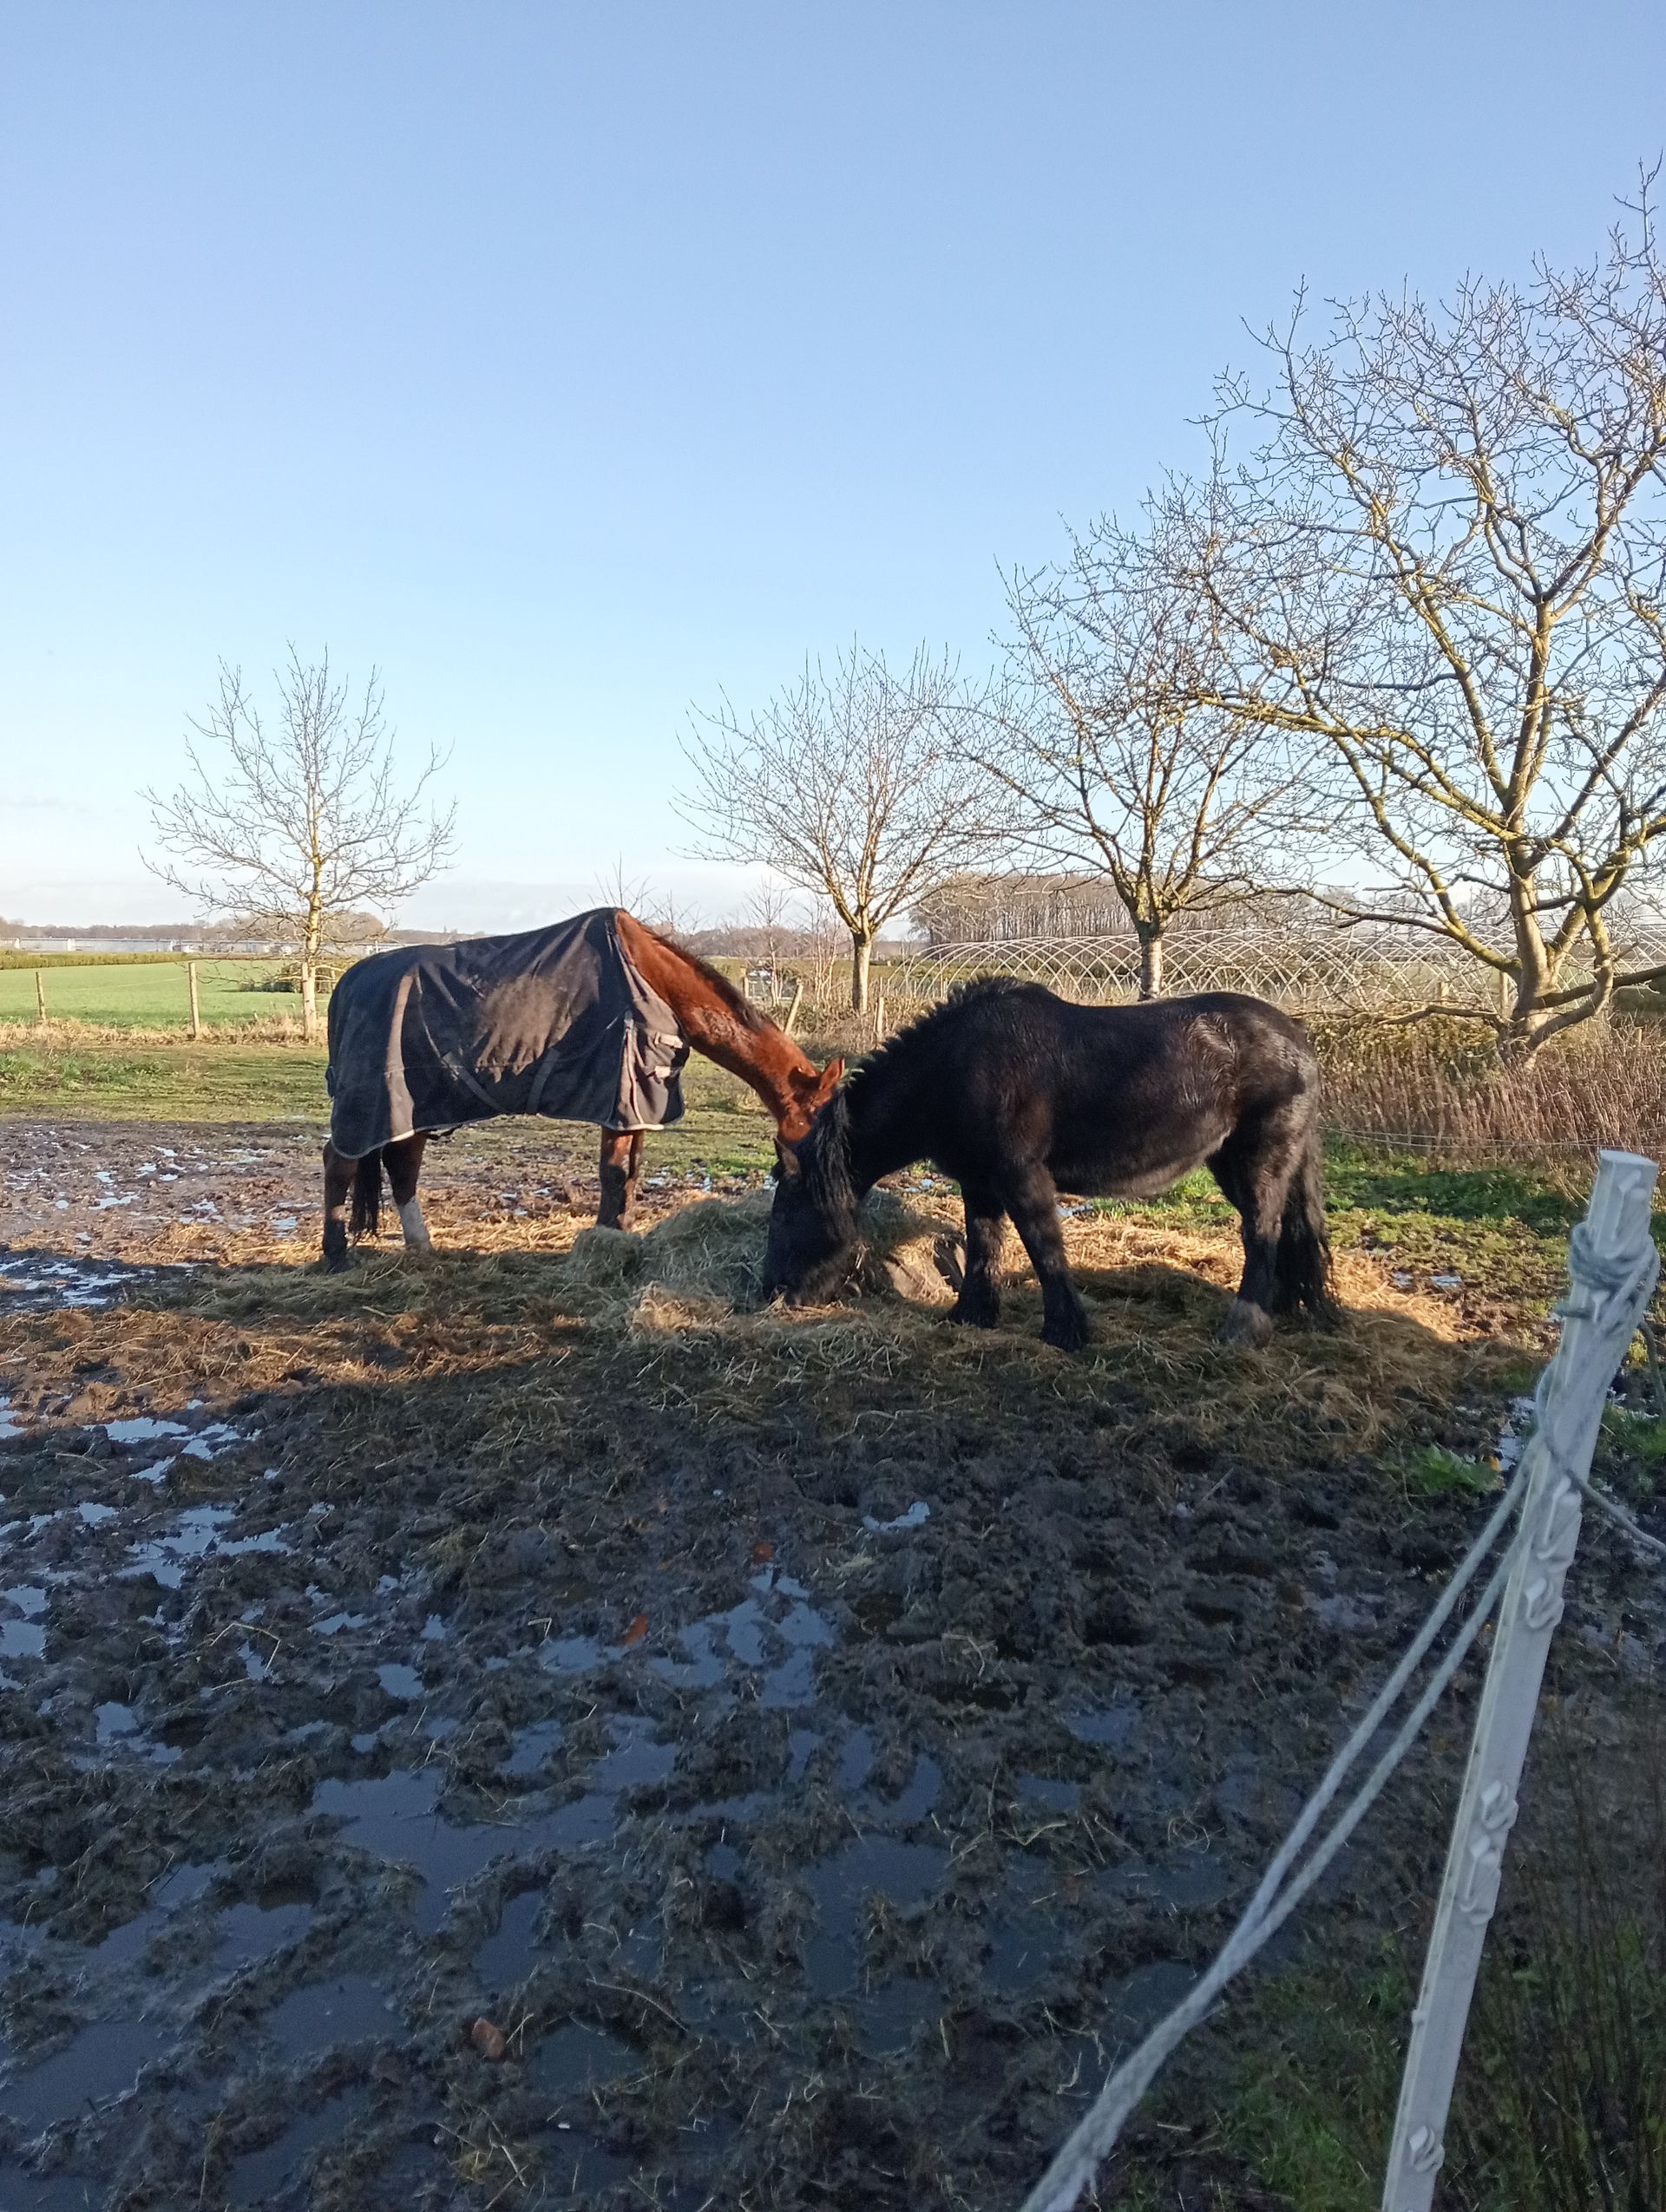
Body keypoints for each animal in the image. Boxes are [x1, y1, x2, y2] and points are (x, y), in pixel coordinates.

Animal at [322, 909, 842, 1269]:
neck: (653, 981)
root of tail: (347, 983)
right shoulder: (616, 1099)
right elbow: (612, 1174)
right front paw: (605, 1238)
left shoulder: (637, 1107)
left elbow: (630, 1174)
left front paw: (623, 1233)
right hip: (375, 1102)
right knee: (339, 1162)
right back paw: (335, 1254)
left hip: (416, 1107)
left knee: (402, 1164)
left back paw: (421, 1246)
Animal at [763, 978, 1334, 1351]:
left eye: (786, 1214)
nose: (774, 1294)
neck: (956, 1068)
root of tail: (1299, 1038)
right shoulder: (980, 1183)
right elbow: (984, 1246)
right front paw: (971, 1316)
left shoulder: (1023, 1178)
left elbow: (1044, 1249)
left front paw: (1066, 1333)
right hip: (1233, 1162)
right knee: (1286, 1229)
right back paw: (1286, 1309)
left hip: (1260, 1159)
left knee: (1261, 1231)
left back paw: (1243, 1329)